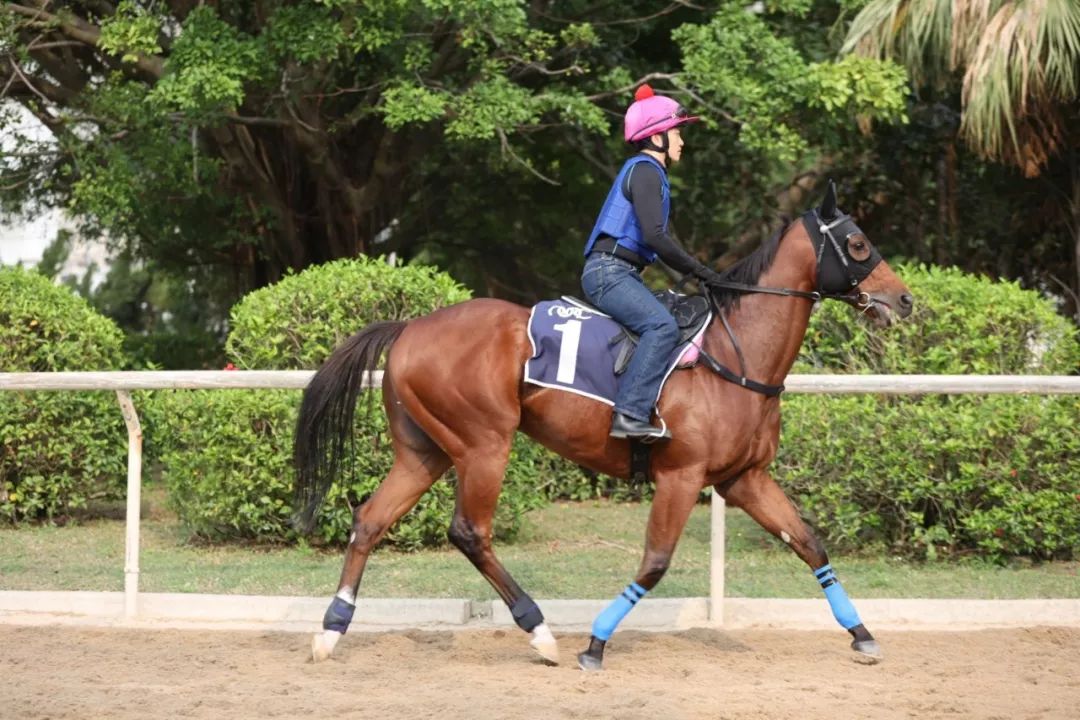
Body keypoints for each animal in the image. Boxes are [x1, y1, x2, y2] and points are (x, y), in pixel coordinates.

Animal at [293, 184, 911, 669]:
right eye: (858, 243)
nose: (903, 299)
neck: (734, 357)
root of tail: (409, 327)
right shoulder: (682, 476)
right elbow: (656, 563)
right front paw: (595, 643)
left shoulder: (744, 479)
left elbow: (808, 542)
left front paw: (861, 634)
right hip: (484, 445)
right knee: (470, 532)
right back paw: (540, 632)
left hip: (425, 452)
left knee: (370, 520)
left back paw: (331, 630)